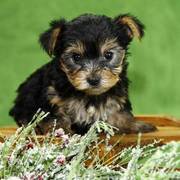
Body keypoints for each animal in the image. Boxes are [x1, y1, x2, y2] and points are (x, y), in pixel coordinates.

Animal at [9, 13, 156, 134]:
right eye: (76, 57)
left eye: (108, 55)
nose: (93, 80)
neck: (89, 95)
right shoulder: (50, 96)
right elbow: (54, 117)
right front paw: (60, 129)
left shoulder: (117, 96)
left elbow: (119, 111)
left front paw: (133, 124)